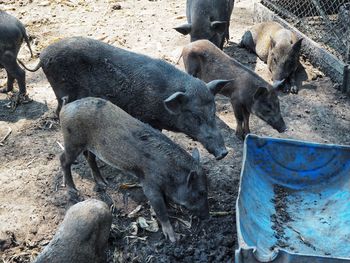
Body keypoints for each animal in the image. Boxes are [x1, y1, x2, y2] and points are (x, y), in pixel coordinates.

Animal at [22, 37, 230, 161]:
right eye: (195, 117)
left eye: (213, 112)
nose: (224, 152)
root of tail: (43, 56)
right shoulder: (147, 117)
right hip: (61, 89)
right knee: (60, 112)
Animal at [58, 97, 209, 243]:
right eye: (201, 192)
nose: (207, 216)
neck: (171, 173)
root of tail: (65, 107)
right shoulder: (148, 183)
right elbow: (160, 210)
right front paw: (174, 239)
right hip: (72, 142)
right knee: (63, 159)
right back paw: (73, 191)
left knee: (90, 158)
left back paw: (103, 183)